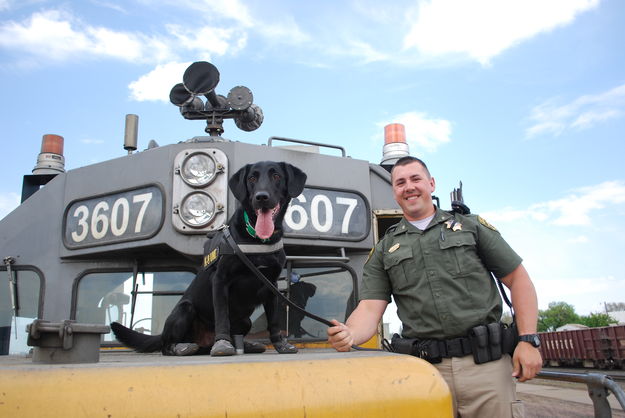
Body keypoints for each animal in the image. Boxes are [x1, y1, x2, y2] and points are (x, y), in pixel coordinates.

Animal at [113, 161, 308, 356]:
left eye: (276, 176)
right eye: (252, 178)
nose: (261, 197)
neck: (256, 239)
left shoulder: (271, 285)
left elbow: (274, 320)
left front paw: (280, 344)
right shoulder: (220, 280)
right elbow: (222, 315)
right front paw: (222, 343)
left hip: (245, 321)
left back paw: (247, 345)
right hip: (184, 309)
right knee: (166, 345)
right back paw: (181, 347)